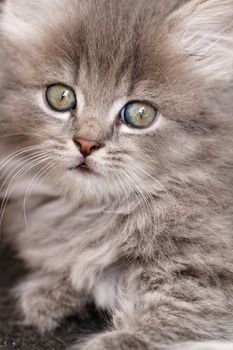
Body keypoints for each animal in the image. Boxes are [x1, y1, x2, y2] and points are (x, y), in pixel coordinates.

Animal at [0, 0, 233, 350]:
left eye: (140, 114)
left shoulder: (210, 277)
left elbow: (174, 314)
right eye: (61, 96)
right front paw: (49, 291)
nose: (86, 143)